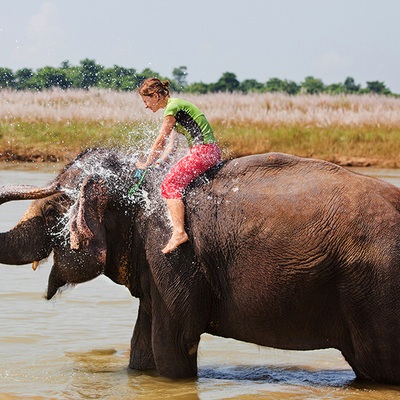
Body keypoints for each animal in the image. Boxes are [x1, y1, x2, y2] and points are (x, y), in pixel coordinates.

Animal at [0, 148, 400, 386]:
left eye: (52, 211)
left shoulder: (172, 256)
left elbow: (172, 345)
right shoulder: (155, 266)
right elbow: (142, 350)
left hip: (375, 286)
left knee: (380, 364)